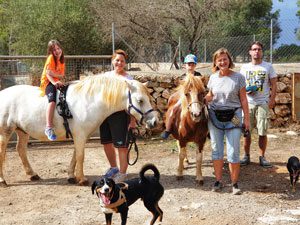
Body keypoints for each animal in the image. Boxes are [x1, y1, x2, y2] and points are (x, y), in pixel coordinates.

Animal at [0, 74, 159, 186]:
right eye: (140, 100)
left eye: (149, 98)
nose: (154, 122)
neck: (88, 101)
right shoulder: (80, 135)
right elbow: (81, 156)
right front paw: (82, 179)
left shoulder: (81, 136)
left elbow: (76, 156)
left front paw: (72, 176)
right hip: (5, 132)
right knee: (3, 153)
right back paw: (3, 181)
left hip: (22, 131)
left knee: (21, 149)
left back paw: (32, 174)